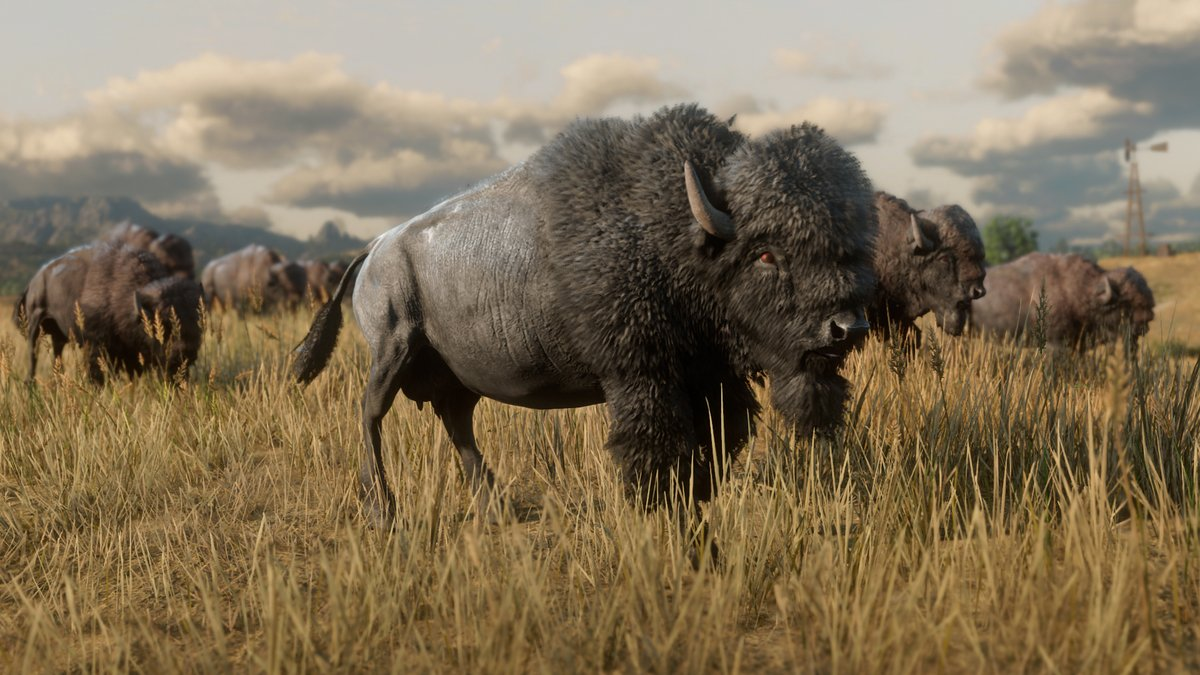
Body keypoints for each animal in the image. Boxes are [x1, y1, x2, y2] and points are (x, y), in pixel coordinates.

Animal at [14, 242, 204, 382]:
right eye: (163, 324)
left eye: (198, 321)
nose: (186, 351)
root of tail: (33, 282)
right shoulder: (94, 345)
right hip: (34, 326)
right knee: (33, 356)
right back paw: (30, 383)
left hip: (58, 336)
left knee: (57, 355)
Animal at [293, 104, 877, 560]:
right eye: (765, 254)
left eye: (851, 247)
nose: (845, 327)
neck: (673, 232)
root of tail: (375, 248)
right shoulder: (643, 379)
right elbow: (657, 453)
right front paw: (671, 525)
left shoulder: (712, 383)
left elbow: (712, 449)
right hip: (392, 350)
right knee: (370, 415)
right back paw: (383, 510)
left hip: (456, 375)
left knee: (457, 424)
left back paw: (495, 507)